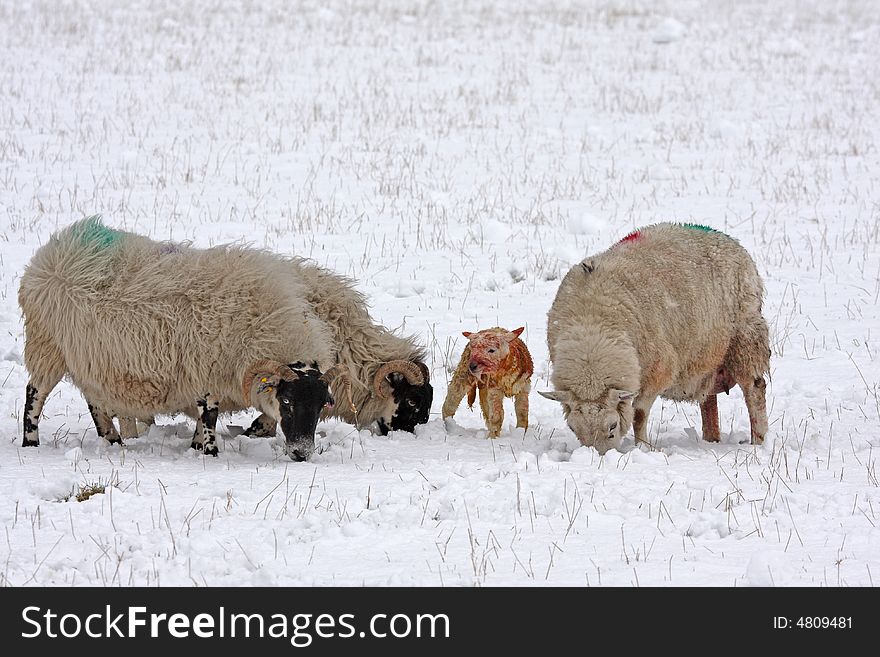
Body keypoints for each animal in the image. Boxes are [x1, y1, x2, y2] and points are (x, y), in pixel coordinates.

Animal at [21, 217, 336, 462]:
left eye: (322, 404)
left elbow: (202, 417)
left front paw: (196, 446)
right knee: (35, 393)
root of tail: (53, 249)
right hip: (46, 345)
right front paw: (210, 452)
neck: (259, 325)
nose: (301, 454)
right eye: (287, 401)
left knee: (94, 401)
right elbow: (208, 416)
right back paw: (31, 442)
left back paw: (112, 441)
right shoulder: (206, 367)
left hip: (86, 356)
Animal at [540, 223, 768, 454]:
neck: (592, 327)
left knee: (755, 389)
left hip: (746, 339)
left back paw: (757, 441)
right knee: (709, 400)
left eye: (612, 426)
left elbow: (639, 414)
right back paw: (710, 440)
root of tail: (729, 240)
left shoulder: (659, 371)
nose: (599, 457)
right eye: (573, 428)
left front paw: (643, 447)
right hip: (707, 356)